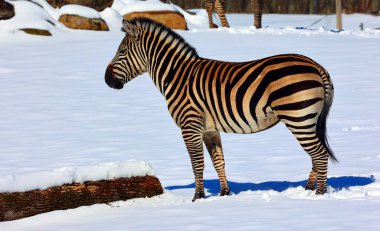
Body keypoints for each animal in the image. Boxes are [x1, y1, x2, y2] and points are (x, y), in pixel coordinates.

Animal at [105, 18, 336, 202]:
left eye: (121, 52)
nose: (106, 80)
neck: (176, 76)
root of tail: (317, 66)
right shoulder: (209, 129)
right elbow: (218, 162)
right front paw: (224, 194)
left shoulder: (189, 127)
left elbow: (197, 164)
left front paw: (197, 198)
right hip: (308, 119)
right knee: (316, 155)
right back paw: (307, 190)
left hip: (298, 117)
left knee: (320, 154)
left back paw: (319, 195)